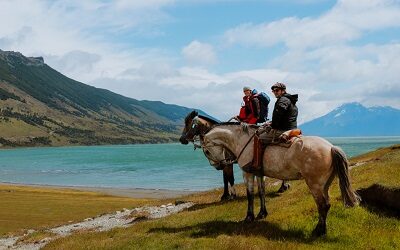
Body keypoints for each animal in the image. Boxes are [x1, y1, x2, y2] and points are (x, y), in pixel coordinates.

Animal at [202, 124, 360, 237]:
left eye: (206, 151)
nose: (219, 166)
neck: (243, 141)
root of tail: (331, 147)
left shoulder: (247, 173)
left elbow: (250, 194)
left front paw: (249, 217)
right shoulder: (259, 174)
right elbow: (261, 192)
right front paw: (262, 214)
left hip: (314, 184)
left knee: (323, 205)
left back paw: (318, 231)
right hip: (325, 184)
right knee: (326, 204)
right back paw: (321, 230)